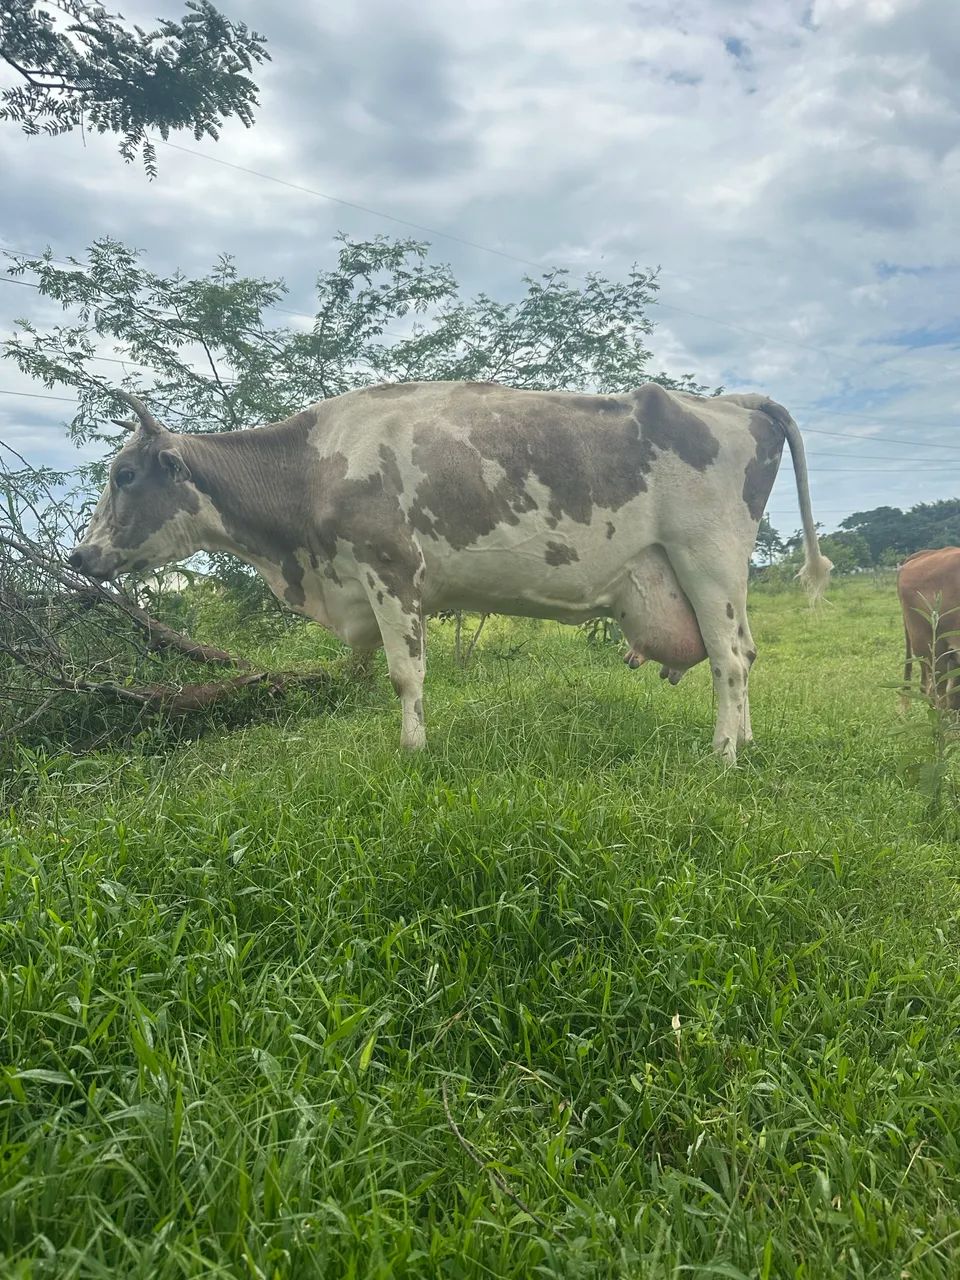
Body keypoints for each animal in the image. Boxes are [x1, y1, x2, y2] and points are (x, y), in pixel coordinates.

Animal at [68, 380, 832, 763]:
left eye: (124, 474)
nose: (79, 555)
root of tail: (730, 402)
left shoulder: (390, 567)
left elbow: (405, 675)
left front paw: (412, 751)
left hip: (709, 557)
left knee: (729, 658)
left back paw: (724, 753)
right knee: (746, 653)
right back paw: (747, 739)